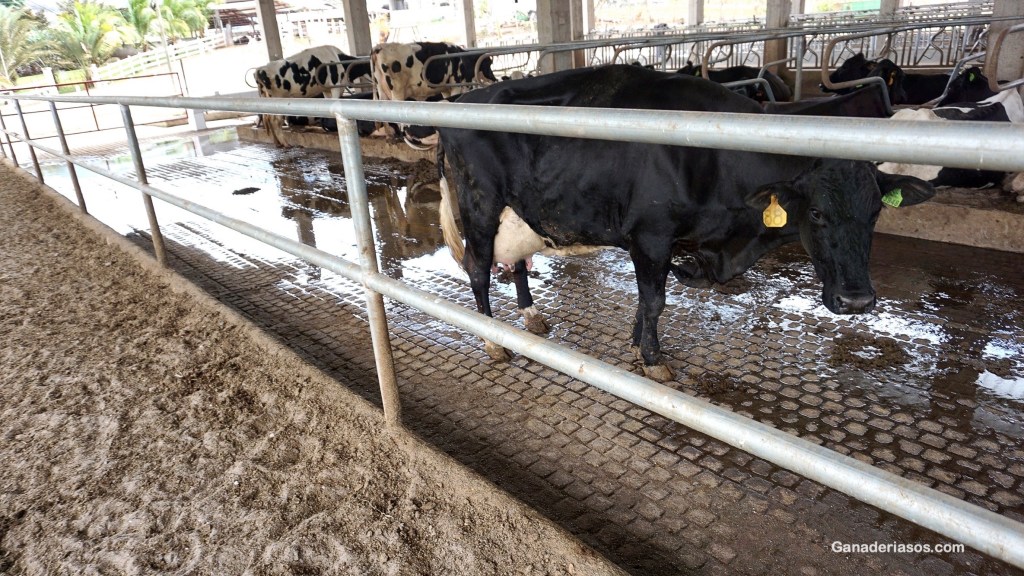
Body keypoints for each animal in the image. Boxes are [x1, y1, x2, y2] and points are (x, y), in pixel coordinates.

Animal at [435, 65, 935, 381]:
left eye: (876, 210)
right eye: (816, 212)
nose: (857, 300)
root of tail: (461, 103)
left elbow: (646, 300)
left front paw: (637, 343)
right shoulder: (652, 234)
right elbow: (655, 301)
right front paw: (654, 360)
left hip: (520, 210)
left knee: (517, 261)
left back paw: (530, 316)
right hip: (480, 206)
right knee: (478, 269)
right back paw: (492, 340)